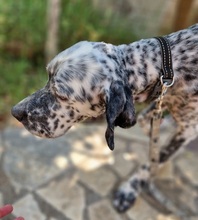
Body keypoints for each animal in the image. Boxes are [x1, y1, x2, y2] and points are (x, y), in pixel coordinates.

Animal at [11, 24, 197, 213]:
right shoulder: (161, 101)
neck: (169, 64)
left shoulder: (187, 130)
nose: (15, 112)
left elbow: (154, 159)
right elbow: (147, 123)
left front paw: (130, 190)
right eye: (48, 77)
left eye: (61, 95)